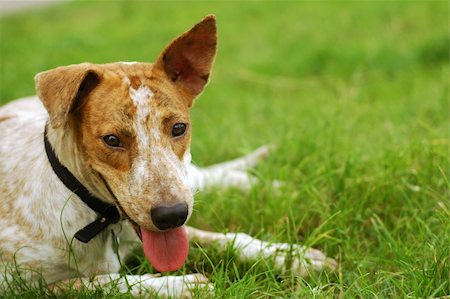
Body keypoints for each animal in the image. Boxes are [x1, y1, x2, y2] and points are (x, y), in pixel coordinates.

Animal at [0, 14, 336, 298]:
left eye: (178, 128)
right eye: (112, 140)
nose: (171, 214)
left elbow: (229, 237)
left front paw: (291, 256)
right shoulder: (23, 286)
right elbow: (106, 282)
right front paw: (178, 284)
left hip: (187, 178)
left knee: (210, 175)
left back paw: (267, 182)